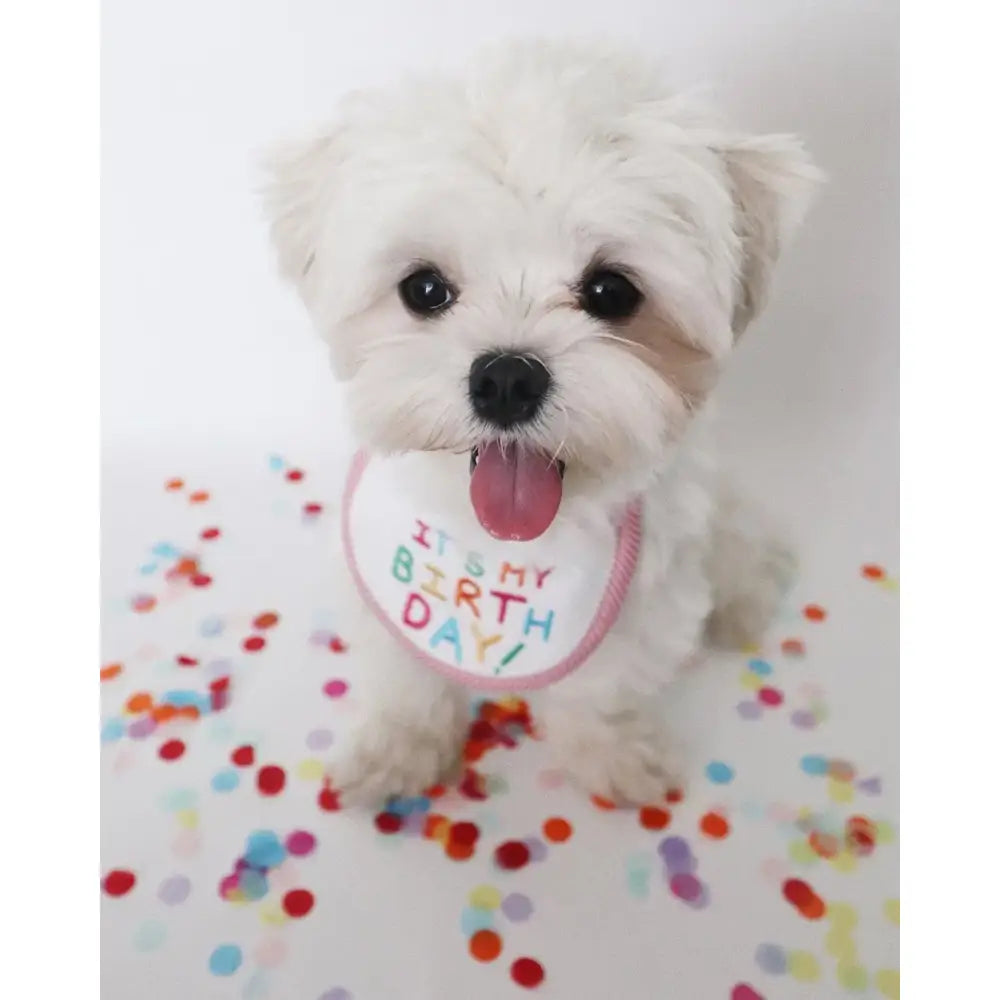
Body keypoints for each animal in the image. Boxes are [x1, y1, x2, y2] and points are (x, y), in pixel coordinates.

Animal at [266, 37, 820, 804]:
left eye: (611, 292)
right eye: (424, 289)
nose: (506, 378)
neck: (500, 547)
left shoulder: (647, 593)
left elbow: (602, 686)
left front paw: (611, 754)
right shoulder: (380, 591)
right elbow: (404, 676)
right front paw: (397, 748)